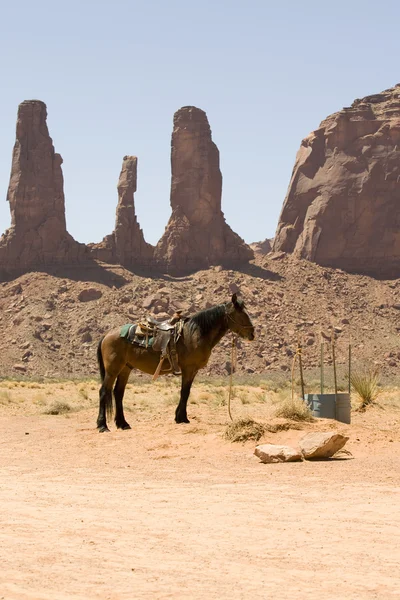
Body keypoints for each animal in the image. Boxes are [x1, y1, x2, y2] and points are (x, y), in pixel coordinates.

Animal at [95, 294, 255, 432]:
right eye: (242, 314)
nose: (252, 334)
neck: (196, 333)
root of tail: (107, 335)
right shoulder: (188, 369)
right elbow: (185, 392)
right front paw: (182, 418)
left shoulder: (193, 370)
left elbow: (186, 391)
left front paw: (180, 416)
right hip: (112, 369)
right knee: (104, 391)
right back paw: (103, 425)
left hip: (125, 368)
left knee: (118, 393)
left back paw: (123, 423)